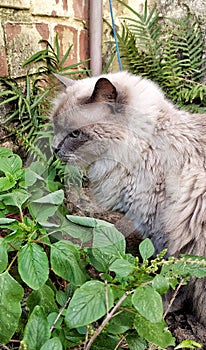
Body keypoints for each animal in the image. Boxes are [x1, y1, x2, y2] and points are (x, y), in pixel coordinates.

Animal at [52, 70, 206, 326]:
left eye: (75, 133)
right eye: (54, 128)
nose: (54, 149)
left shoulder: (166, 232)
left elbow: (171, 277)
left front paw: (162, 308)